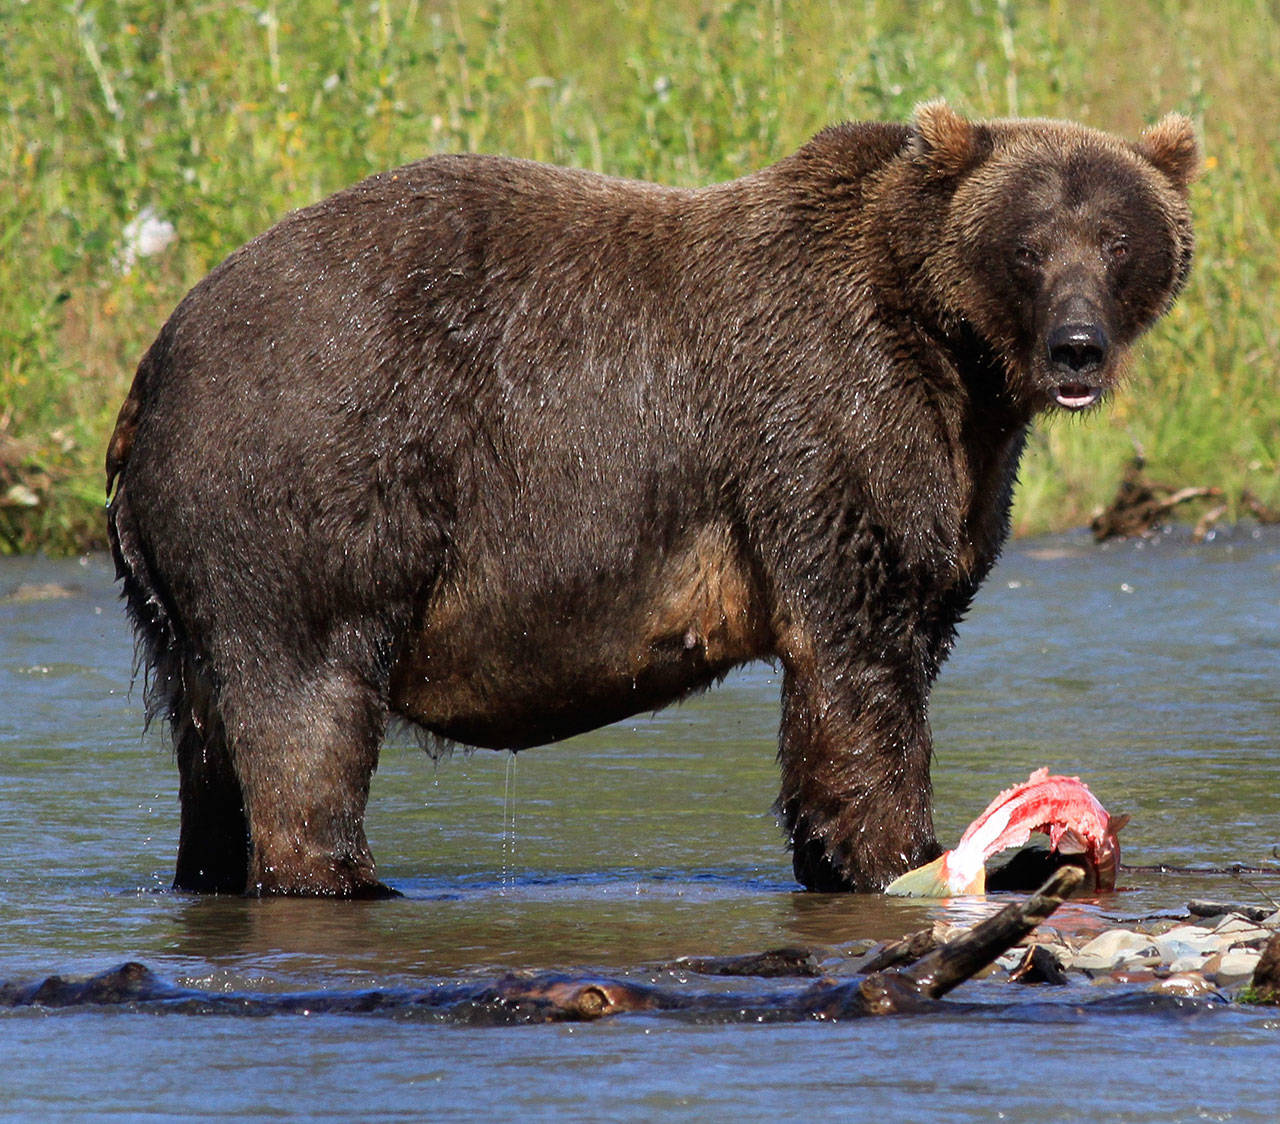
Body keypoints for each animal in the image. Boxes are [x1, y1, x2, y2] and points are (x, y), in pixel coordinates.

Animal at [104, 103, 1192, 896]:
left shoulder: (957, 468)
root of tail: (154, 365)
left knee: (207, 750)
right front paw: (902, 852)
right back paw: (343, 877)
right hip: (310, 479)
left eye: (1116, 240)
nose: (1077, 349)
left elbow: (907, 629)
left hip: (179, 587)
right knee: (306, 711)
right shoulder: (827, 427)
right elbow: (859, 671)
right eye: (1028, 245)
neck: (957, 364)